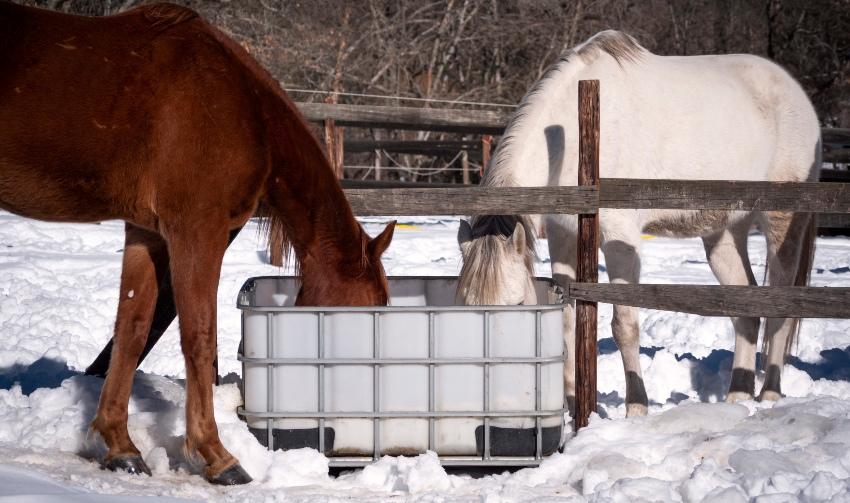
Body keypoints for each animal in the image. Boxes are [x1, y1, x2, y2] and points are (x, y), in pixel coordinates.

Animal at [0, 2, 395, 485]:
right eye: (366, 312)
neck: (241, 105)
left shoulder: (147, 233)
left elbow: (131, 331)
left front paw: (120, 446)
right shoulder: (197, 230)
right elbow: (199, 336)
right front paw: (217, 455)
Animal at [457, 31, 819, 417]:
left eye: (517, 305)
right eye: (465, 305)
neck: (568, 138)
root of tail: (799, 98)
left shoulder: (621, 239)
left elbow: (624, 325)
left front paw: (636, 407)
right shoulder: (563, 236)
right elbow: (567, 318)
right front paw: (572, 406)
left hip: (782, 222)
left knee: (781, 307)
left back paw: (770, 393)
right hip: (724, 233)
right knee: (746, 309)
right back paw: (738, 395)